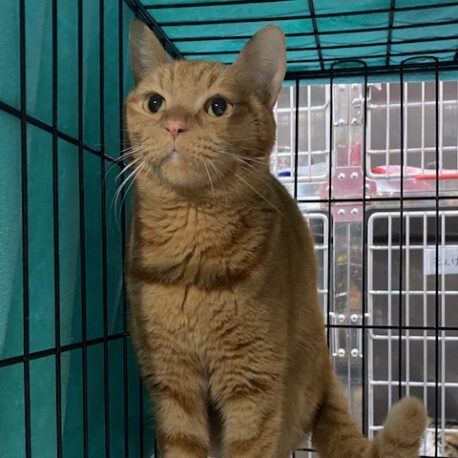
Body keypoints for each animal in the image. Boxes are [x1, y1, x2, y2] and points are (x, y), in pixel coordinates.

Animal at [125, 19, 427, 458]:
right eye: (154, 103)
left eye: (218, 107)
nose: (174, 125)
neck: (192, 235)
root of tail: (325, 366)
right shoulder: (173, 384)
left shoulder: (253, 387)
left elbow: (250, 446)